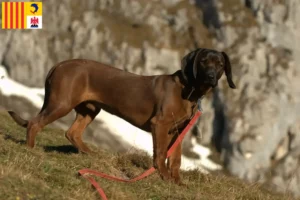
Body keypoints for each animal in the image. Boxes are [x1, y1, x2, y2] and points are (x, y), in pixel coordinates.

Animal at [7, 48, 237, 184]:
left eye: (220, 65)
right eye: (204, 61)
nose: (211, 77)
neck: (189, 89)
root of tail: (60, 64)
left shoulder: (178, 131)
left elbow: (176, 159)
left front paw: (177, 182)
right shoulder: (160, 125)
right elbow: (161, 154)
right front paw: (162, 176)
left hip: (90, 109)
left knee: (72, 133)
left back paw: (89, 154)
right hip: (61, 103)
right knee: (35, 123)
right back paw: (31, 149)